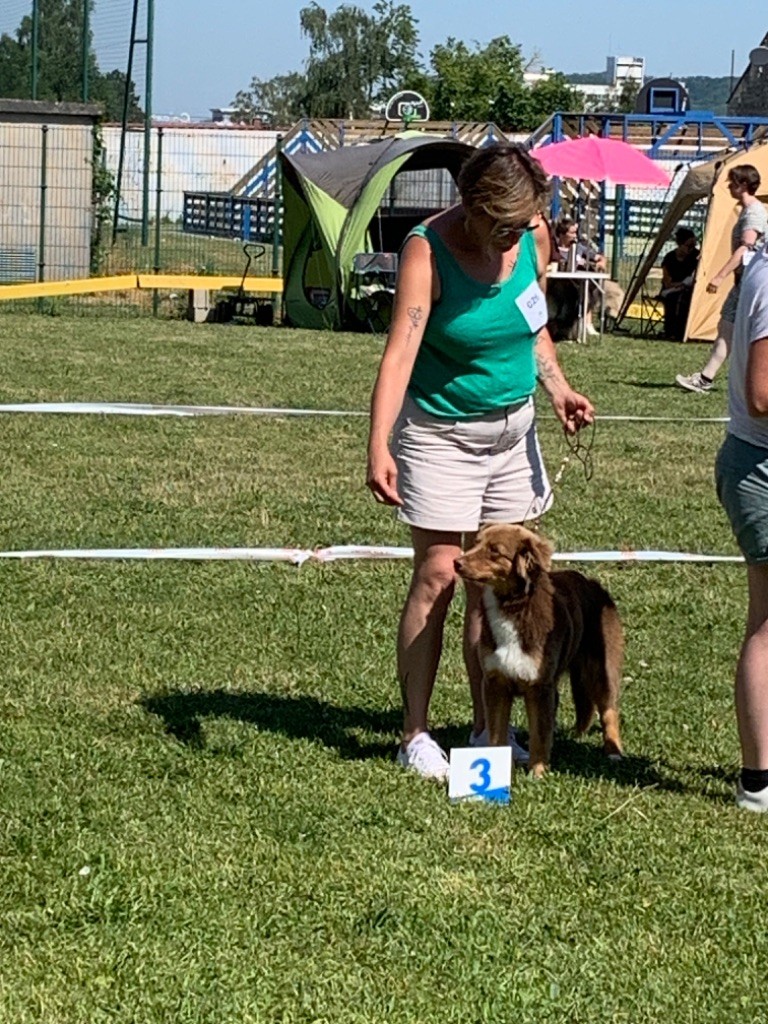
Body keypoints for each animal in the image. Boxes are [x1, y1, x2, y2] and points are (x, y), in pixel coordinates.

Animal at [456, 528, 626, 774]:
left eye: (495, 551)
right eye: (476, 543)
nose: (456, 562)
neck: (513, 607)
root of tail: (593, 584)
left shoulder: (538, 687)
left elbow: (539, 734)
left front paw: (537, 772)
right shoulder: (496, 683)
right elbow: (497, 735)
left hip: (600, 668)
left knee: (608, 709)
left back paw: (613, 751)